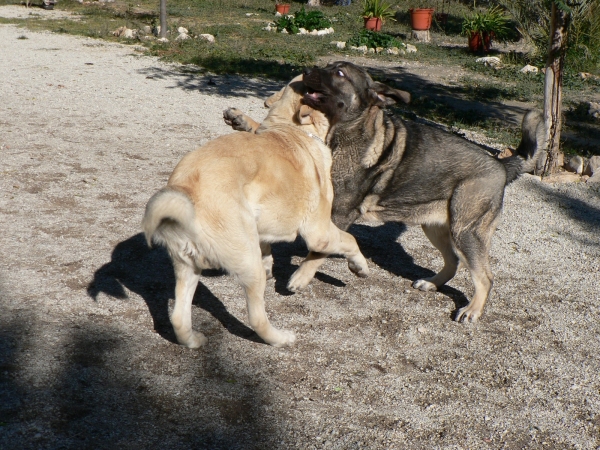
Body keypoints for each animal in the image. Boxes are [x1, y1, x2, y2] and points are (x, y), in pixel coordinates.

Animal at [144, 76, 370, 348]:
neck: (293, 129)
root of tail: (185, 189)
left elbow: (269, 248)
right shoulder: (319, 232)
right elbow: (350, 240)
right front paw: (360, 267)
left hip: (187, 268)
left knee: (178, 317)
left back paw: (193, 340)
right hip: (247, 265)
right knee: (257, 318)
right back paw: (281, 338)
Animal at [298, 61, 544, 324]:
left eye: (339, 73)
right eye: (328, 66)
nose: (306, 71)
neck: (351, 131)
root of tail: (501, 165)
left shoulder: (341, 213)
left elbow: (318, 249)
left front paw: (300, 278)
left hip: (465, 232)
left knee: (485, 277)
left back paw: (472, 310)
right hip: (435, 228)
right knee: (453, 261)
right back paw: (433, 283)